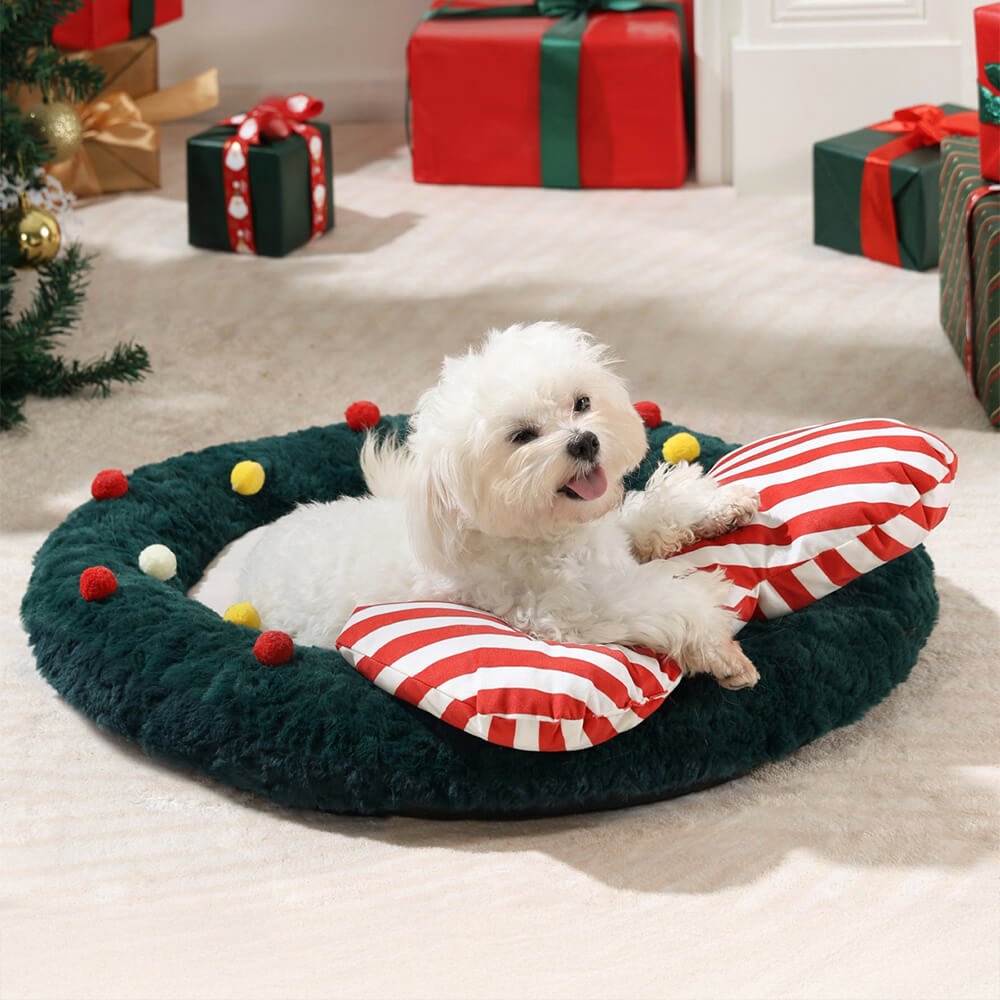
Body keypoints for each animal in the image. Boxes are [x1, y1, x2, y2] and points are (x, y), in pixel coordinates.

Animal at [240, 324, 756, 692]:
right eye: (522, 436)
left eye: (581, 403)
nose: (585, 441)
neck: (551, 536)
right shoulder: (569, 616)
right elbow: (669, 602)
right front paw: (722, 650)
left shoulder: (608, 533)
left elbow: (648, 516)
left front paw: (722, 506)